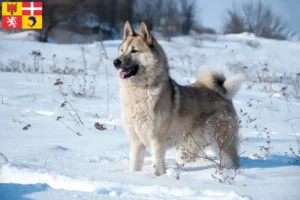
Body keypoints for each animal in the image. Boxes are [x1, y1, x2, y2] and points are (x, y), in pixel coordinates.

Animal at [113, 21, 244, 176]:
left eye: (134, 51)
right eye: (122, 50)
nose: (115, 62)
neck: (139, 90)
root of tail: (221, 92)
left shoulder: (157, 140)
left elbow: (157, 165)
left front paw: (158, 177)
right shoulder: (137, 142)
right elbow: (135, 165)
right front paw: (134, 176)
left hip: (221, 140)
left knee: (232, 158)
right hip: (189, 146)